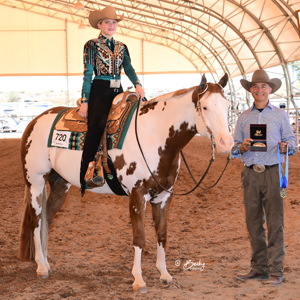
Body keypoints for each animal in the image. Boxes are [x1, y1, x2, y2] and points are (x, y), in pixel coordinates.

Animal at [18, 73, 234, 292]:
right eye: (205, 107)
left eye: (228, 106)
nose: (226, 142)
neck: (154, 135)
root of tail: (34, 121)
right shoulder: (138, 195)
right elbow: (139, 237)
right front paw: (138, 280)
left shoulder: (164, 196)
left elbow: (162, 234)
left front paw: (164, 274)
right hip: (35, 182)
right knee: (36, 221)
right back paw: (41, 268)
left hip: (60, 185)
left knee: (47, 219)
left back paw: (46, 264)